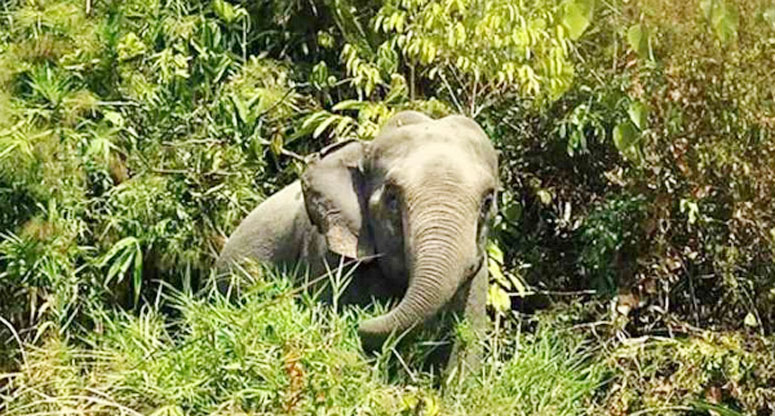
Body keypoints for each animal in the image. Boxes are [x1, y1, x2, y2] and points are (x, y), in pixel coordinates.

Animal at [215, 111, 500, 374]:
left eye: (488, 202)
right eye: (392, 198)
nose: (364, 320)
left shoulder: (479, 273)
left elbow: (465, 351)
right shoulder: (326, 252)